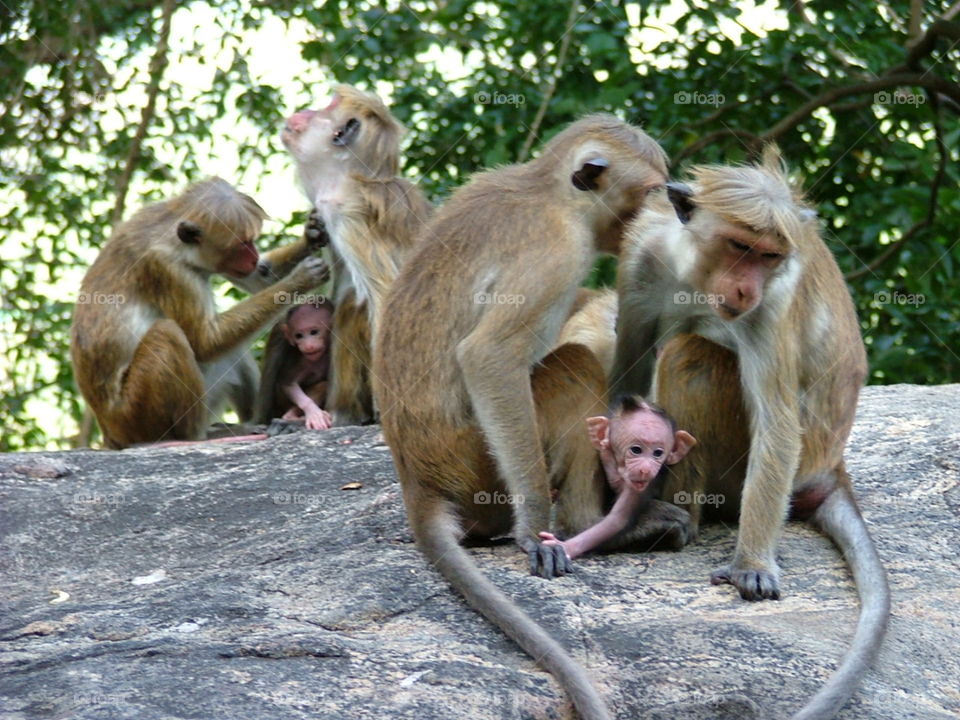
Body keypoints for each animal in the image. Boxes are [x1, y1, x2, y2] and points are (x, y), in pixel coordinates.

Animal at [254, 300, 334, 430]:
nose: (308, 346)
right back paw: (290, 416)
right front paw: (313, 412)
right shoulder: (301, 361)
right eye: (298, 336)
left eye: (314, 332)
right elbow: (288, 383)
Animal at [282, 84, 433, 425]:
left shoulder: (347, 215)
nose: (301, 112)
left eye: (326, 107)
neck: (346, 179)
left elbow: (389, 296)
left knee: (356, 303)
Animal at [373, 114, 670, 720]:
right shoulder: (554, 253)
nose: (664, 209)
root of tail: (418, 479)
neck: (554, 194)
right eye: (651, 189)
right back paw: (590, 524)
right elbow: (489, 357)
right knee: (573, 365)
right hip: (475, 463)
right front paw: (535, 530)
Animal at [611, 147, 890, 720]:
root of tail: (831, 467)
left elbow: (777, 424)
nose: (747, 287)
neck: (693, 269)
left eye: (770, 256)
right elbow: (625, 379)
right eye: (741, 247)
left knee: (694, 357)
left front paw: (752, 567)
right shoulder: (641, 258)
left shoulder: (774, 299)